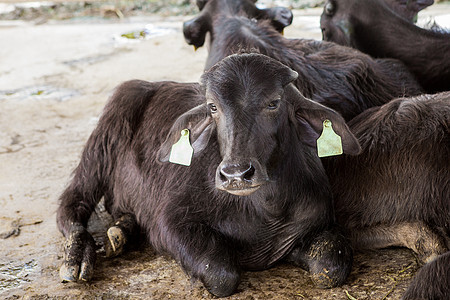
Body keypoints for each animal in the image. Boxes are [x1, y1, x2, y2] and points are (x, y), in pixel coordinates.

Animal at [56, 53, 360, 296]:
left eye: (274, 102)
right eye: (213, 107)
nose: (236, 174)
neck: (265, 210)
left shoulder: (319, 221)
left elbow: (329, 268)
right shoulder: (170, 222)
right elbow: (220, 274)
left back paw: (121, 232)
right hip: (98, 151)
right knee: (72, 208)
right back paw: (77, 259)